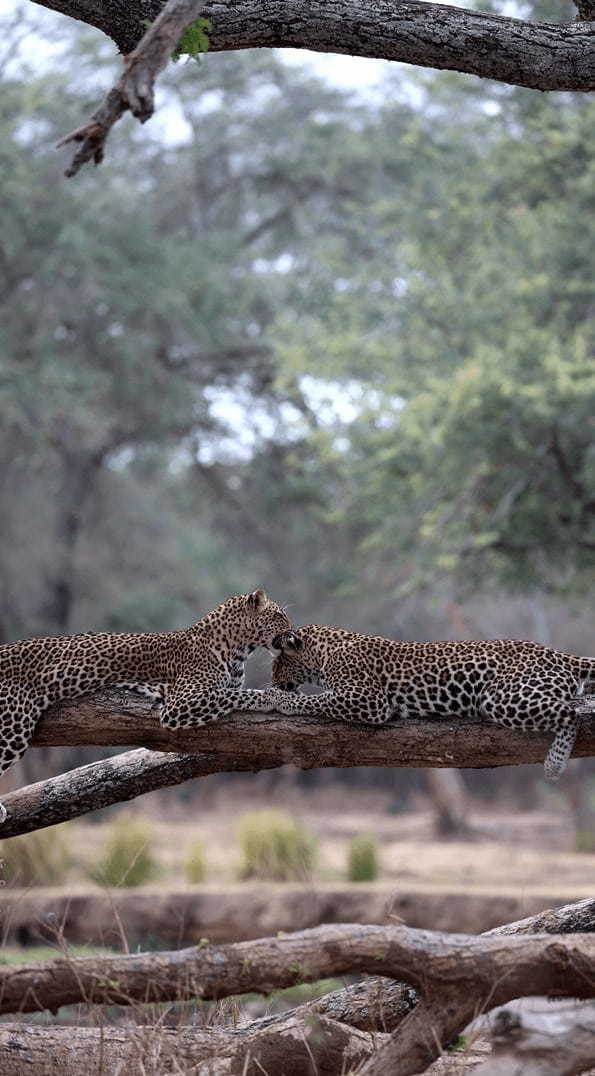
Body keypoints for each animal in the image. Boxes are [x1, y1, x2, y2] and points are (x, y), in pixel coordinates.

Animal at [0, 589, 292, 822]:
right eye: (280, 616)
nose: (292, 635)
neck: (239, 650)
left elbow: (237, 692)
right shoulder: (181, 703)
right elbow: (243, 695)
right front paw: (275, 698)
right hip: (14, 725)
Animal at [271, 624, 593, 783]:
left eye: (277, 664)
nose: (272, 680)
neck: (324, 653)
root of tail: (555, 652)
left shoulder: (369, 700)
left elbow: (316, 699)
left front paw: (279, 698)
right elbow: (318, 697)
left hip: (501, 697)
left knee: (571, 713)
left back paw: (554, 765)